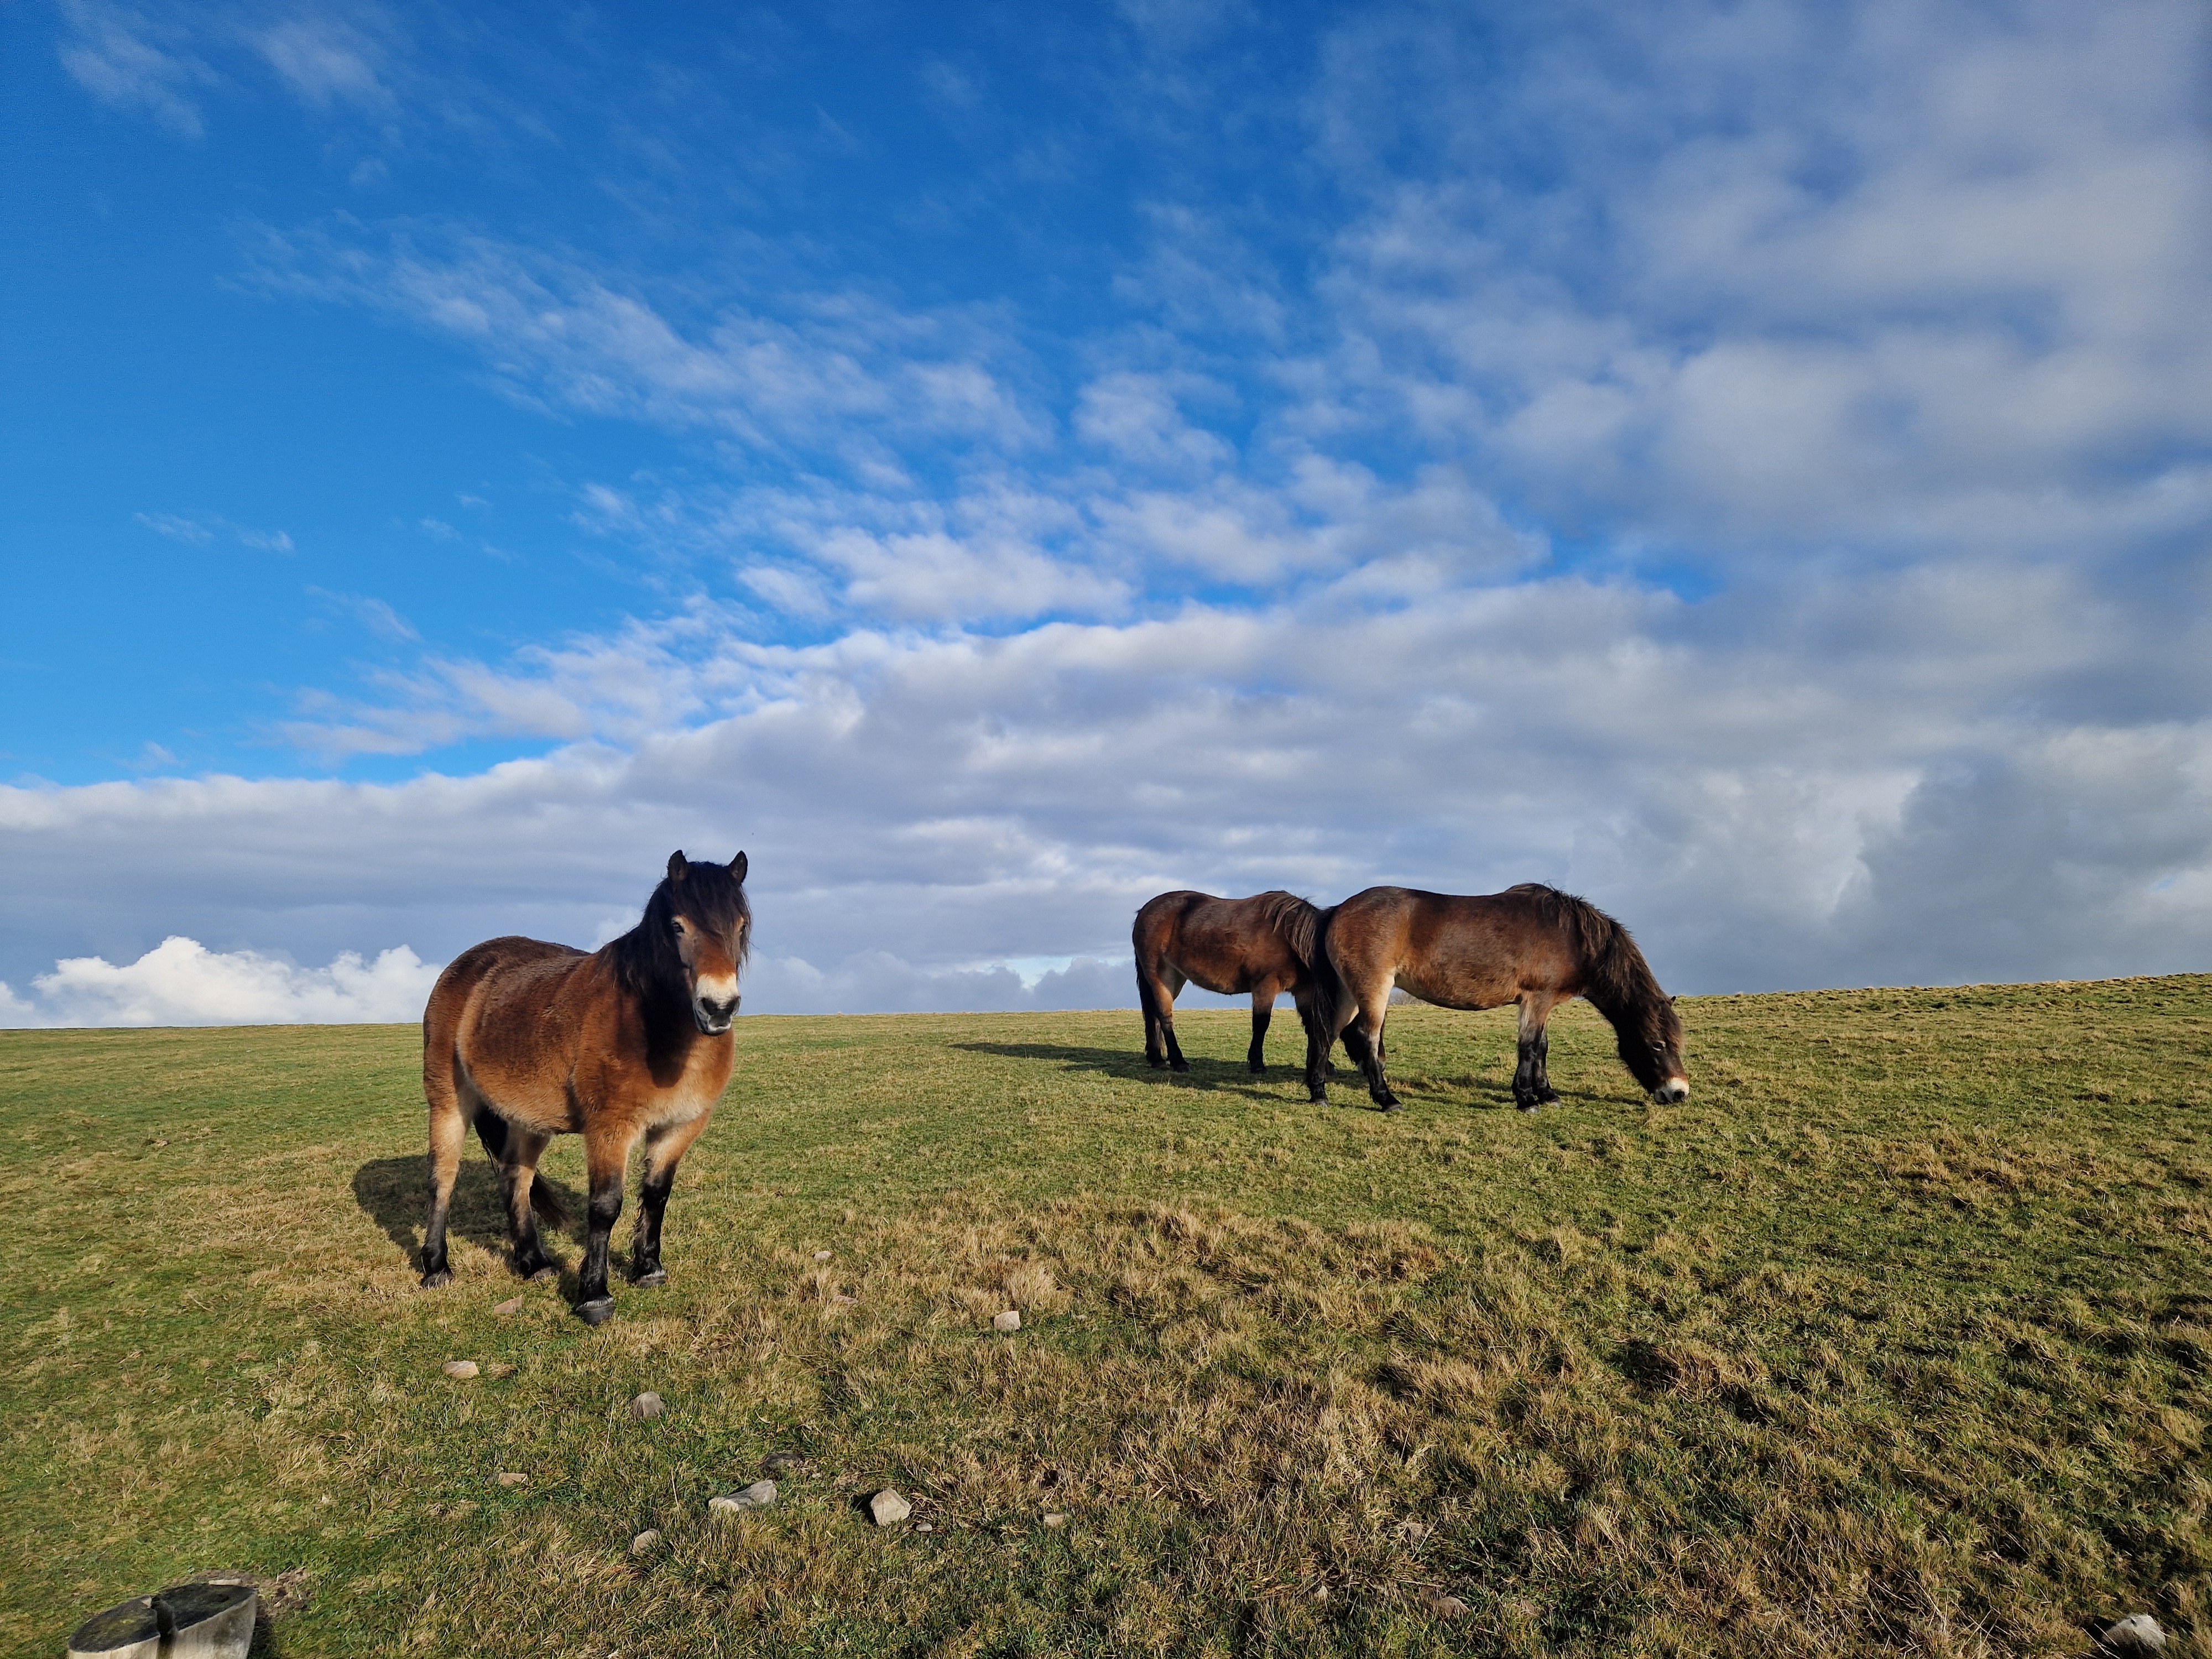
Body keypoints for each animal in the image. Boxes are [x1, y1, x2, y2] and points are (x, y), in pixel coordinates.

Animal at [419, 850, 750, 1325]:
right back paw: (436, 1267)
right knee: (442, 1179)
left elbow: (656, 1194)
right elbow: (605, 1206)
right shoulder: (610, 1129)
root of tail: (466, 966)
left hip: (528, 1120)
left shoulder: (681, 1126)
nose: (718, 1008)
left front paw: (648, 1268)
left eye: (741, 926)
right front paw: (594, 1295)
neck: (655, 1027)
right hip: (449, 1104)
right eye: (677, 926)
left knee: (515, 1179)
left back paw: (534, 1262)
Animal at [1133, 889, 1332, 1075]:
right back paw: (1179, 1062)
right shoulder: (1266, 986)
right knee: (1164, 1016)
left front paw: (1326, 1065)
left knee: (1154, 1015)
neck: (1290, 936)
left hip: (1175, 979)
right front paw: (1257, 1064)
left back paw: (1157, 1058)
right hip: (1162, 977)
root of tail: (1144, 912)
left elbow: (1311, 1024)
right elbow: (1261, 1024)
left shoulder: (1304, 991)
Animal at [1306, 883, 1688, 1113]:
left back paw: (1319, 1094)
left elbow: (1542, 1047)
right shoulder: (1537, 999)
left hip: (1348, 993)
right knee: (1367, 1039)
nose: (1679, 1092)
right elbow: (1529, 1048)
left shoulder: (1542, 1003)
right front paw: (1526, 1099)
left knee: (1326, 1034)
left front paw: (1547, 1094)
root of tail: (1337, 910)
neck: (1570, 936)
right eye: (1657, 1044)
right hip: (1373, 991)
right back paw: (1386, 1100)